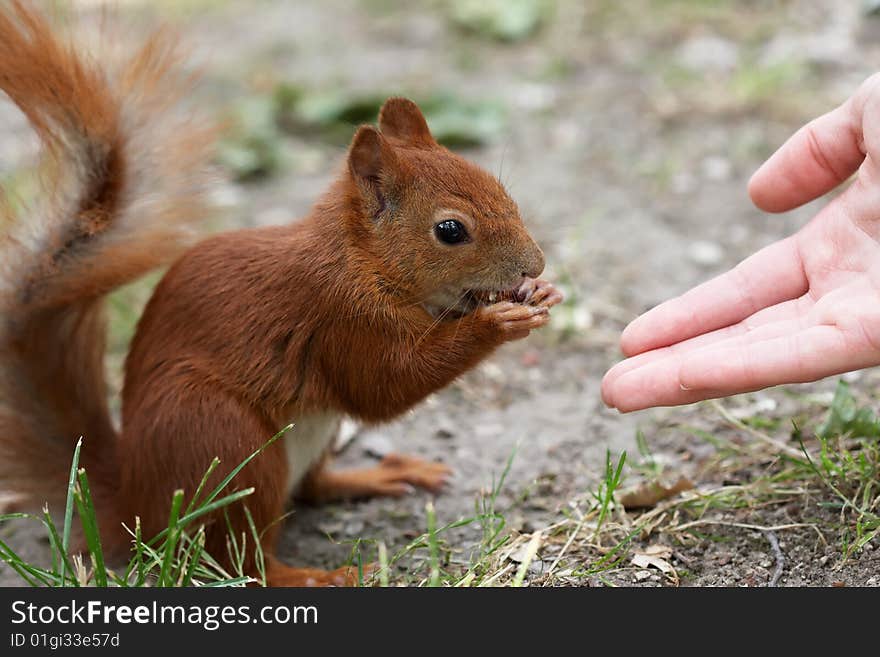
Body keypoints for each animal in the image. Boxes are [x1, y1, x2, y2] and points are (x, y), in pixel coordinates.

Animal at [0, 0, 564, 584]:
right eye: (451, 230)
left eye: (498, 187)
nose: (535, 263)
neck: (361, 260)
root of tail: (137, 508)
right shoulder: (339, 316)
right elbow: (385, 384)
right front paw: (496, 323)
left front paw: (537, 293)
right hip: (223, 441)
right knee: (242, 558)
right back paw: (322, 575)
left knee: (311, 489)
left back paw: (374, 478)